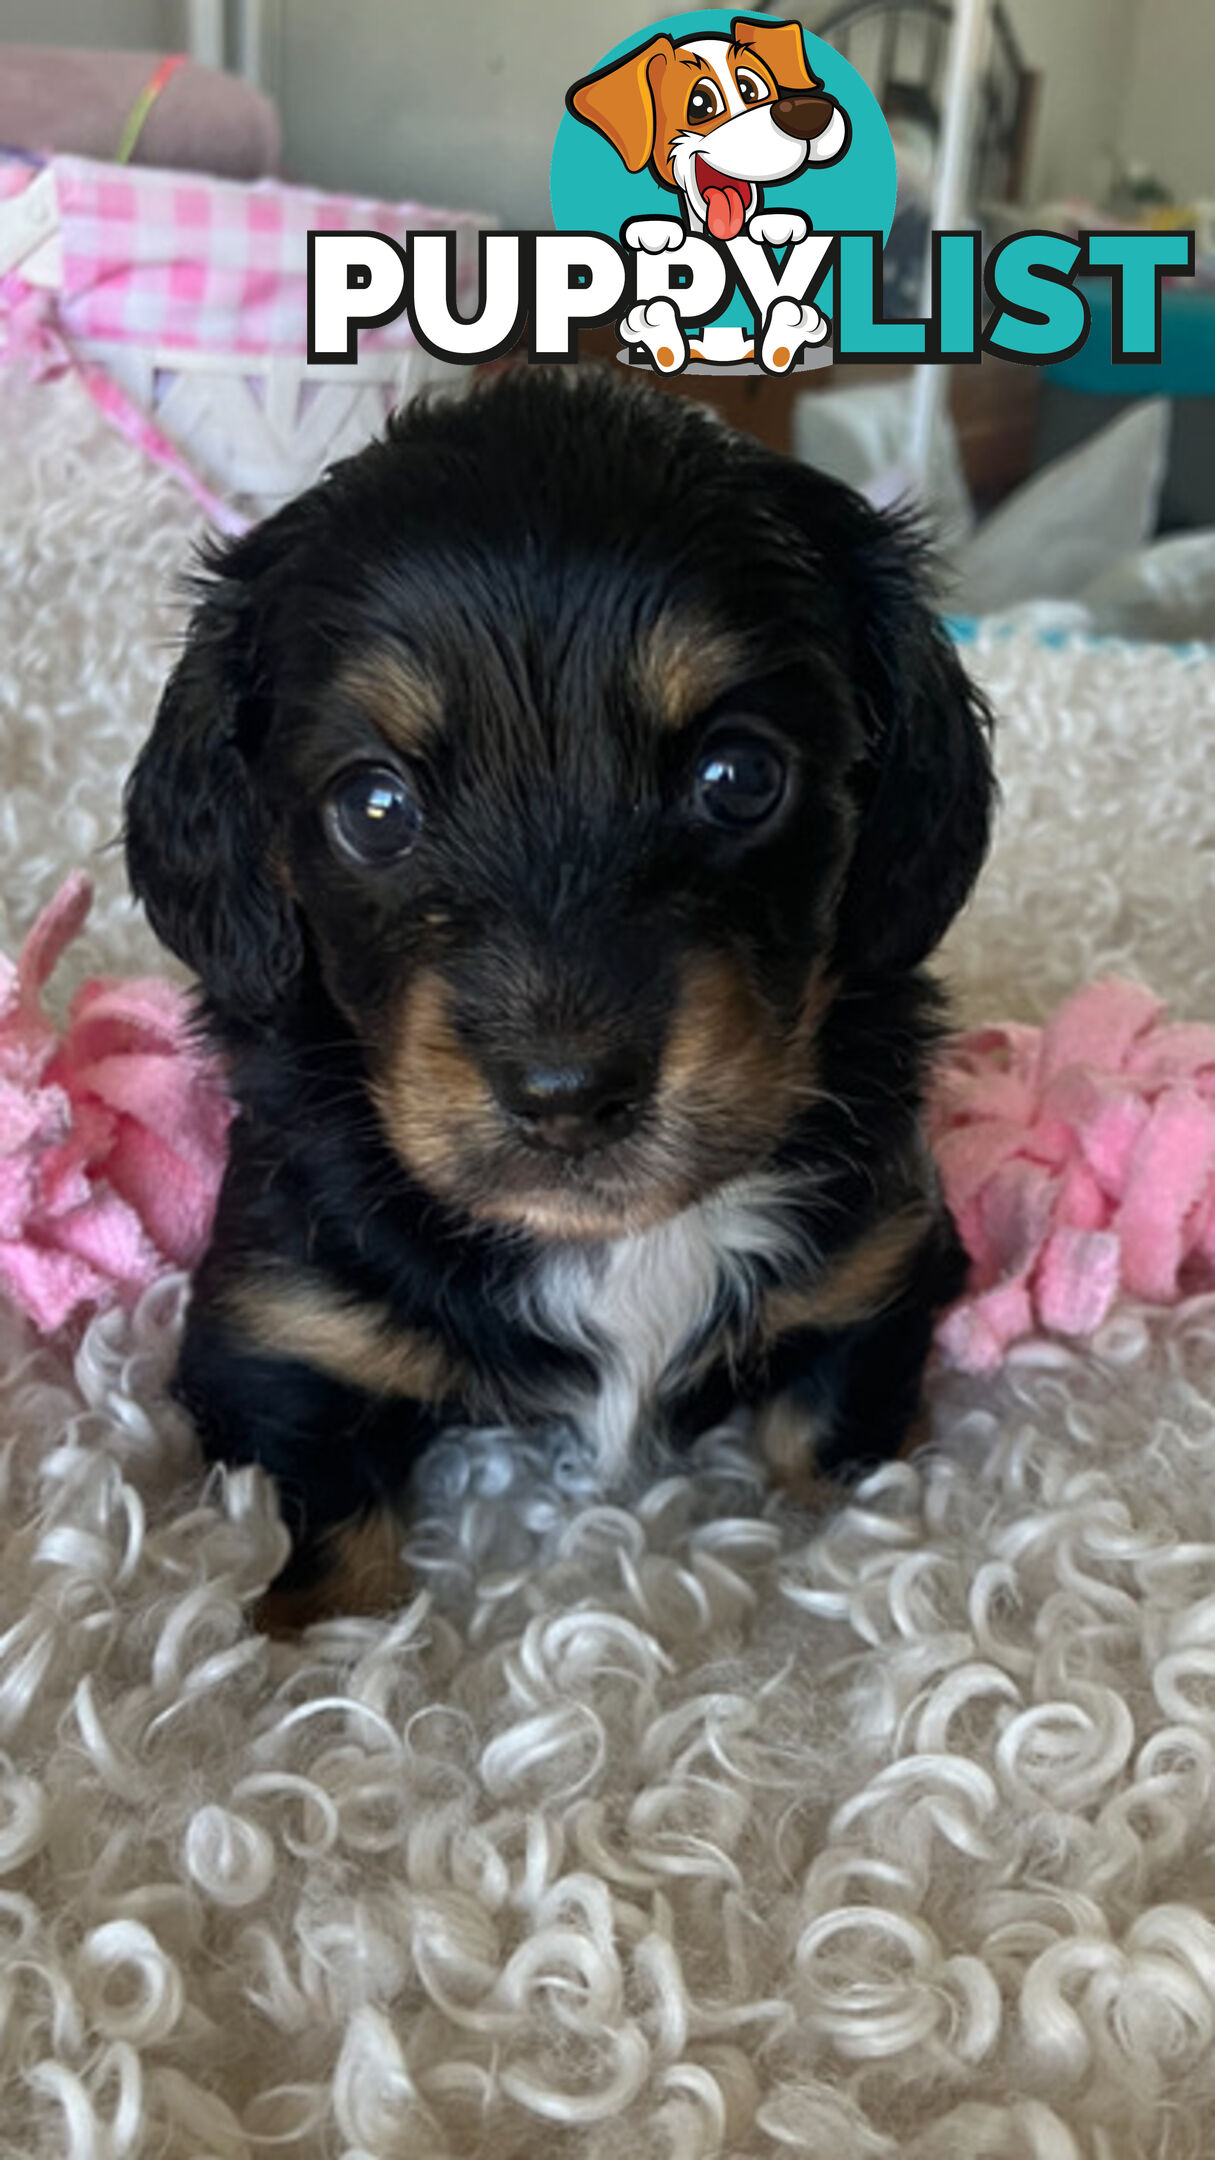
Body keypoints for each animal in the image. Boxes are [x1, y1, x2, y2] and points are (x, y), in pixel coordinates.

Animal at [125, 367, 994, 1624]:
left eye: (741, 775)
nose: (567, 1095)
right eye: (373, 807)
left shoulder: (880, 1276)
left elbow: (831, 1468)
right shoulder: (276, 1346)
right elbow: (315, 1579)